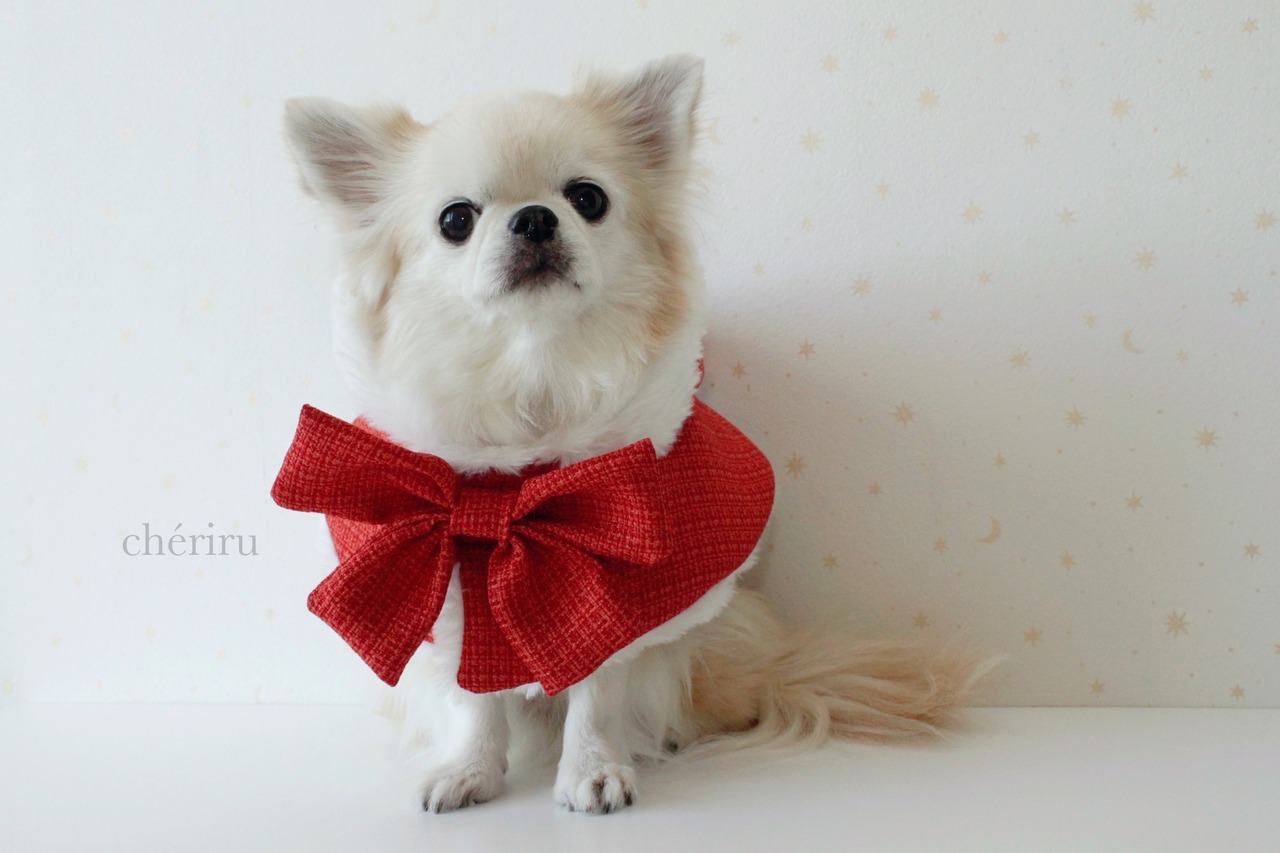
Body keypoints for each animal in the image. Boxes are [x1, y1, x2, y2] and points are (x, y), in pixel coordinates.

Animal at [281, 55, 989, 815]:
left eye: (588, 199)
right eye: (455, 220)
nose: (535, 217)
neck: (539, 382)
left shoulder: (619, 589)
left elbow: (597, 692)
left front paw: (592, 769)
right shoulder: (446, 586)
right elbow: (476, 699)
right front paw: (471, 770)